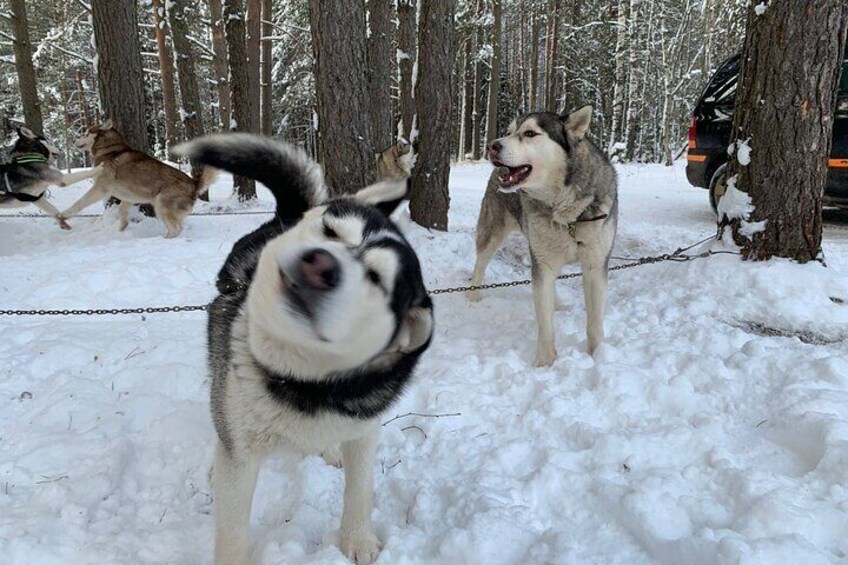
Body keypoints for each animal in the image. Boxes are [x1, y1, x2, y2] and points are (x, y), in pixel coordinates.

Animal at [63, 120, 215, 237]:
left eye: (86, 133)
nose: (73, 141)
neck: (110, 150)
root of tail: (194, 183)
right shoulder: (129, 197)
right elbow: (122, 211)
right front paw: (122, 230)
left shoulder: (100, 189)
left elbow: (79, 203)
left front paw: (63, 216)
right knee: (176, 227)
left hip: (161, 207)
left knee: (176, 229)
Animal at [176, 133, 434, 564]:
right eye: (330, 231)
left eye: (376, 279)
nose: (320, 264)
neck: (303, 380)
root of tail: (285, 216)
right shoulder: (241, 456)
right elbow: (232, 529)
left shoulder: (365, 431)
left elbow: (360, 491)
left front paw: (358, 540)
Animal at [470, 107, 616, 366]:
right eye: (510, 131)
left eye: (530, 133)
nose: (491, 145)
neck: (567, 216)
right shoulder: (542, 265)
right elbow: (545, 323)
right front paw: (545, 363)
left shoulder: (595, 267)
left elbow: (595, 321)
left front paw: (598, 355)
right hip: (492, 234)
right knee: (480, 264)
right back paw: (474, 297)